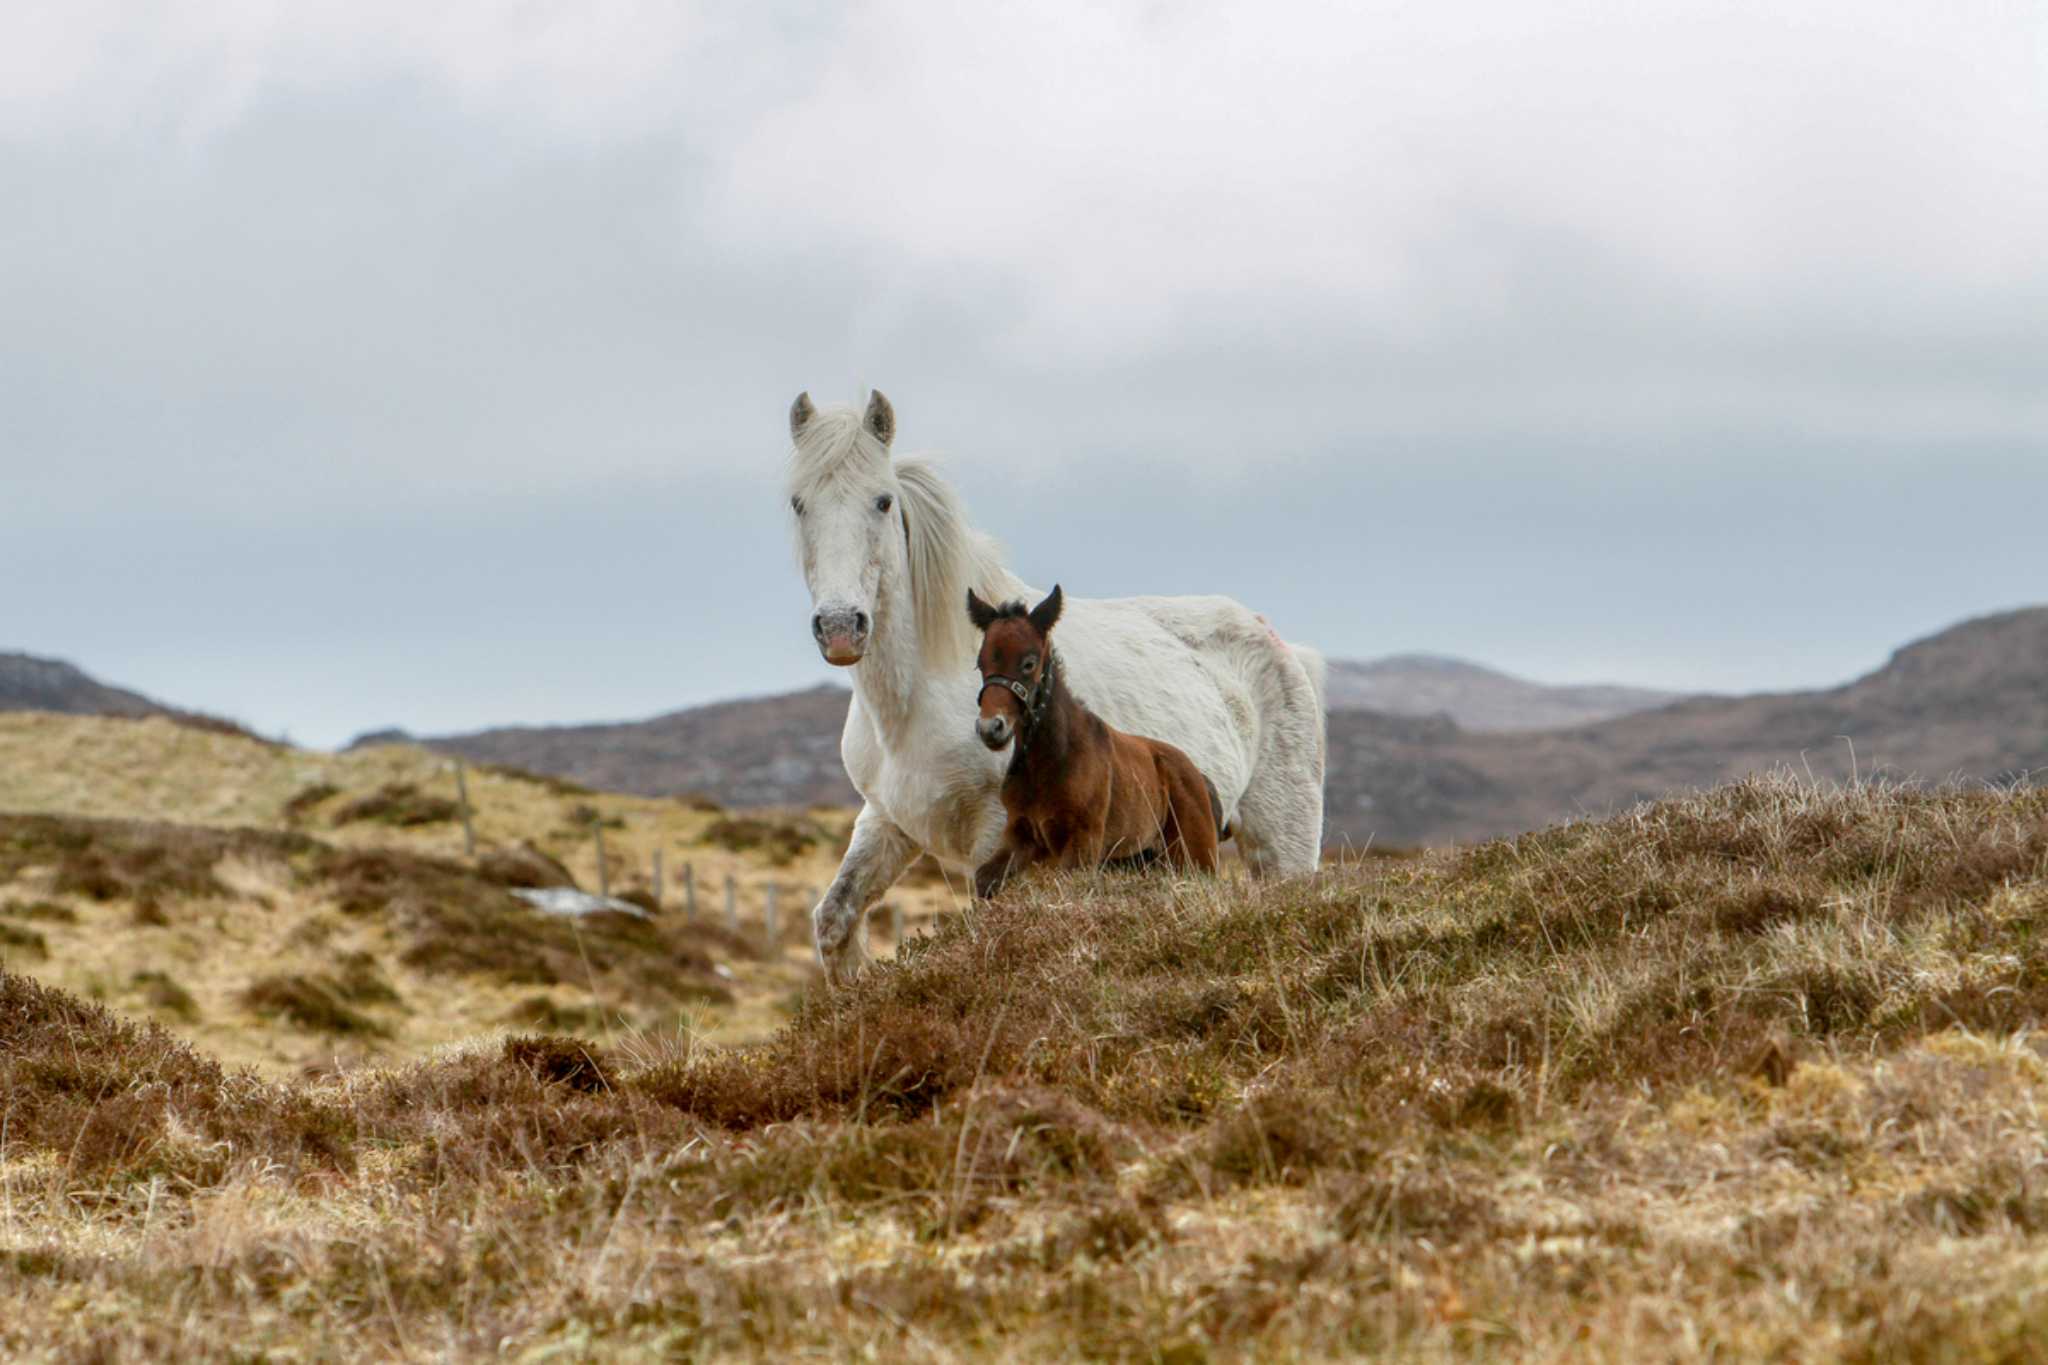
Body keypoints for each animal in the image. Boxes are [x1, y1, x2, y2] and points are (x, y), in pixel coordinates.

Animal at [966, 585, 1225, 900]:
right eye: (981, 664)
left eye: (1028, 663)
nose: (991, 728)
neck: (1053, 759)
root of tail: (1199, 775)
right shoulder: (1021, 833)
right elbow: (984, 878)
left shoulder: (1083, 843)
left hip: (1196, 854)